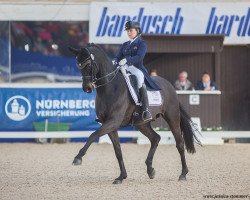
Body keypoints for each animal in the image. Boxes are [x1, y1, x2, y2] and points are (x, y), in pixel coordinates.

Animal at [68, 43, 201, 184]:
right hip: (141, 123)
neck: (110, 88)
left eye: (88, 65)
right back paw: (150, 170)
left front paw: (78, 158)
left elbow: (93, 135)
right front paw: (121, 177)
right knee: (155, 138)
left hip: (172, 117)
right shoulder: (109, 125)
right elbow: (118, 151)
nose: (87, 88)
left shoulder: (113, 121)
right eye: (78, 65)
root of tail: (170, 86)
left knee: (179, 144)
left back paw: (183, 174)